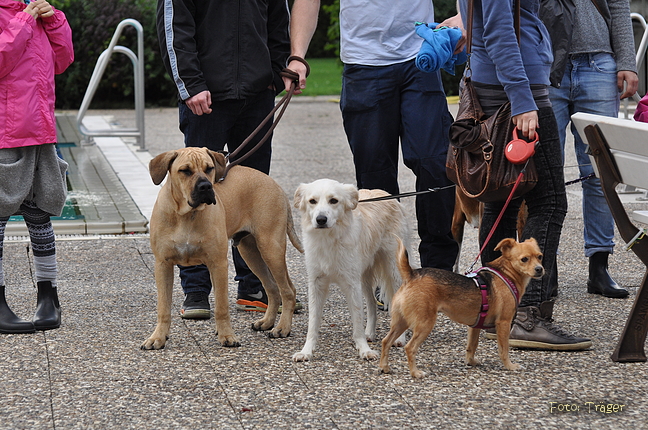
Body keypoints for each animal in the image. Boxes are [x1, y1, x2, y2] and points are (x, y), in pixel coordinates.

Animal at [140, 148, 302, 350]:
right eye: (185, 171)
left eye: (209, 168)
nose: (205, 187)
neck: (187, 215)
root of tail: (274, 183)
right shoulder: (163, 265)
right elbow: (163, 308)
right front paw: (158, 337)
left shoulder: (218, 264)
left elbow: (221, 306)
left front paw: (227, 335)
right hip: (251, 252)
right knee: (272, 288)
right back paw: (266, 322)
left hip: (271, 248)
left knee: (288, 291)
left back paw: (282, 328)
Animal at [294, 178, 410, 360]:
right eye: (312, 201)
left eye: (334, 200)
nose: (321, 219)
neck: (329, 238)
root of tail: (387, 195)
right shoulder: (316, 284)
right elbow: (313, 322)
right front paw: (306, 351)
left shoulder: (351, 285)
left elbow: (357, 320)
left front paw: (364, 350)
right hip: (364, 277)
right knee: (371, 303)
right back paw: (370, 333)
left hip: (393, 272)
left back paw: (399, 339)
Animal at [378, 237, 544, 378]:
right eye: (524, 259)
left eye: (540, 257)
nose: (540, 269)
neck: (507, 274)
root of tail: (412, 275)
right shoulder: (503, 323)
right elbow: (504, 349)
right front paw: (510, 366)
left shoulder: (475, 325)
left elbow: (472, 346)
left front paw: (471, 362)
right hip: (424, 324)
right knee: (410, 348)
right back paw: (415, 373)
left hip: (401, 322)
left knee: (386, 341)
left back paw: (384, 367)